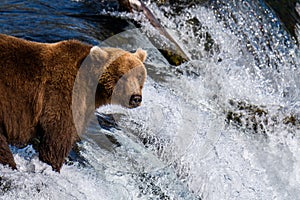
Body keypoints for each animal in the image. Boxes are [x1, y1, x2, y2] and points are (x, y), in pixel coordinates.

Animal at [0, 33, 148, 171]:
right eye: (122, 76)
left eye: (139, 75)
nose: (135, 98)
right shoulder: (63, 94)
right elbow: (58, 135)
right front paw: (53, 164)